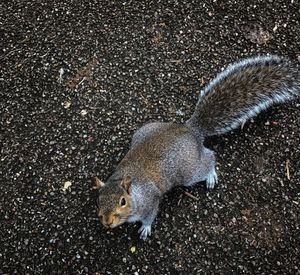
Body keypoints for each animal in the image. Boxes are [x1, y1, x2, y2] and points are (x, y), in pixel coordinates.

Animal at [95, 55, 298, 240]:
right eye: (99, 199)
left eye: (122, 201)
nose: (107, 222)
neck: (134, 191)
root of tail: (191, 130)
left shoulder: (150, 200)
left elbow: (149, 216)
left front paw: (145, 228)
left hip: (188, 171)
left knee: (209, 157)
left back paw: (211, 175)